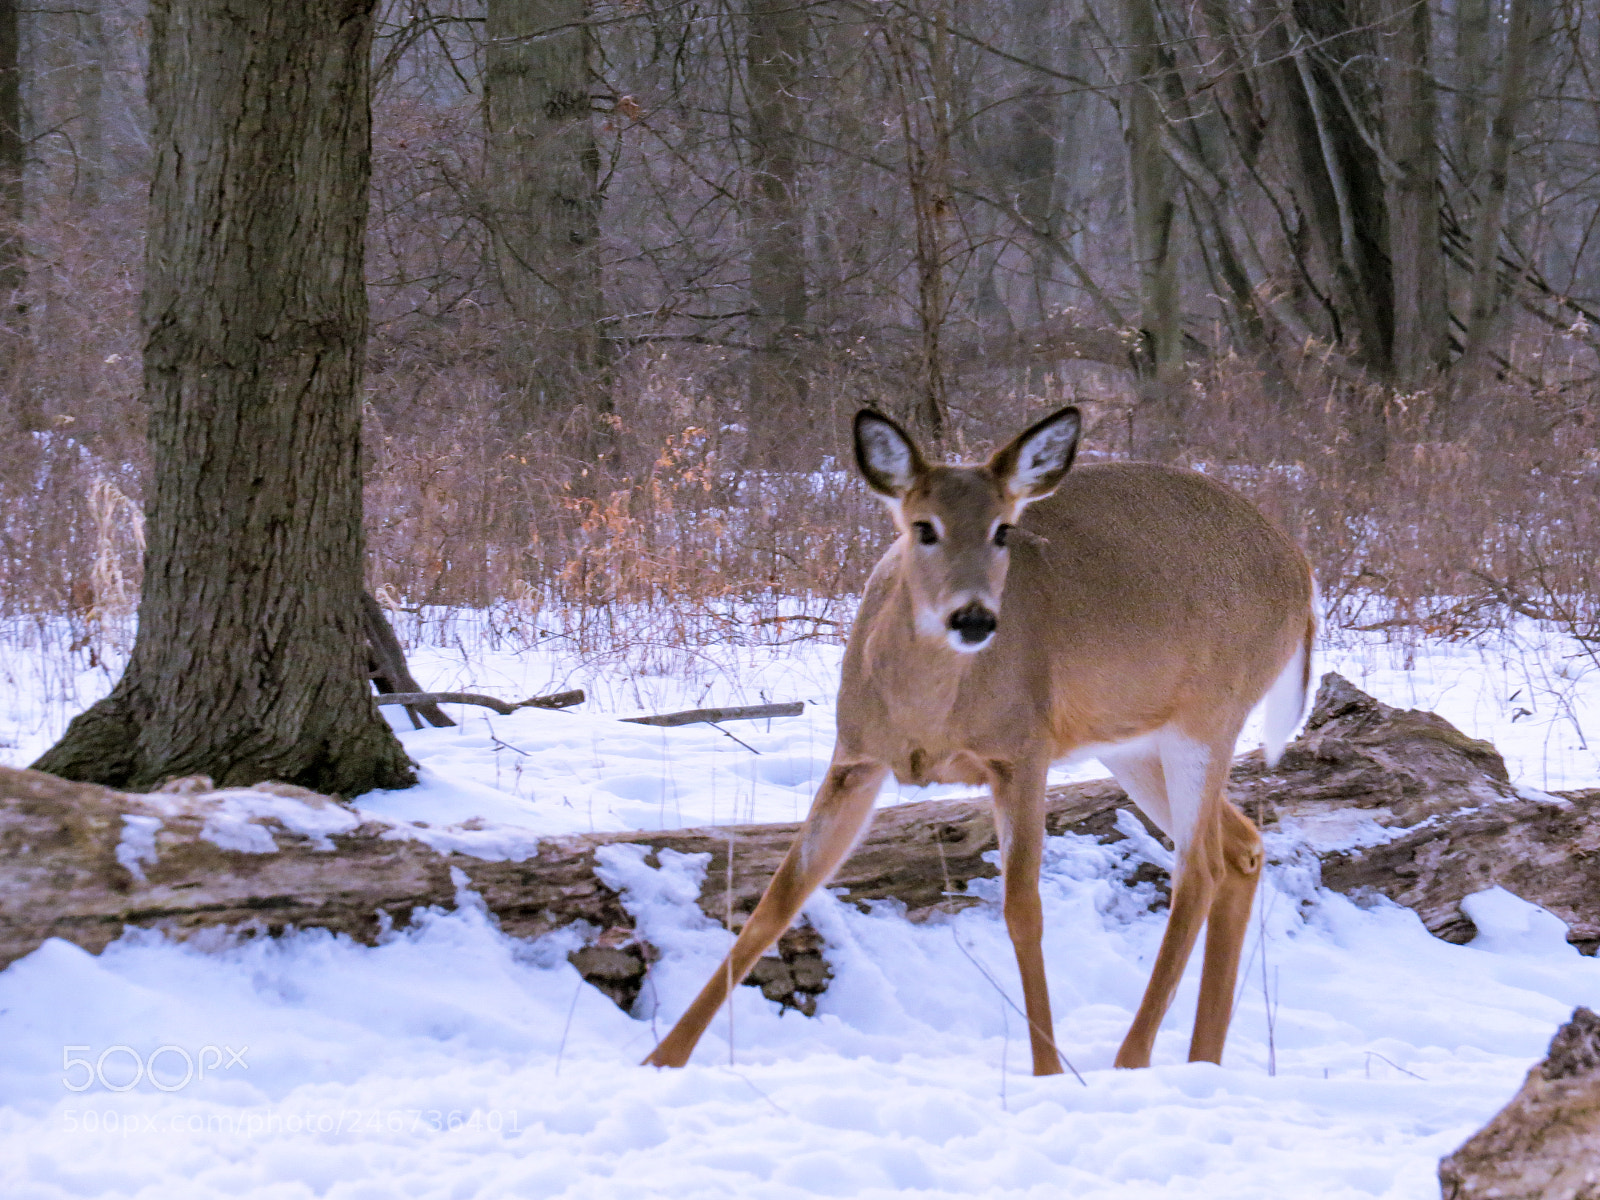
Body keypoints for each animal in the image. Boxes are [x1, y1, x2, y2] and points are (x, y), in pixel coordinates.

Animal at [644, 406, 1316, 1075]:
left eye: (1002, 531)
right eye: (924, 528)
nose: (973, 618)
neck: (930, 718)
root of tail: (1303, 574)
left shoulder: (1021, 751)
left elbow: (1023, 911)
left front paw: (1049, 1073)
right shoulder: (855, 757)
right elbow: (778, 900)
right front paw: (661, 1060)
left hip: (1207, 718)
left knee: (1197, 869)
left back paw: (1132, 1060)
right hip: (1131, 745)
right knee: (1241, 849)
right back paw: (1202, 1061)